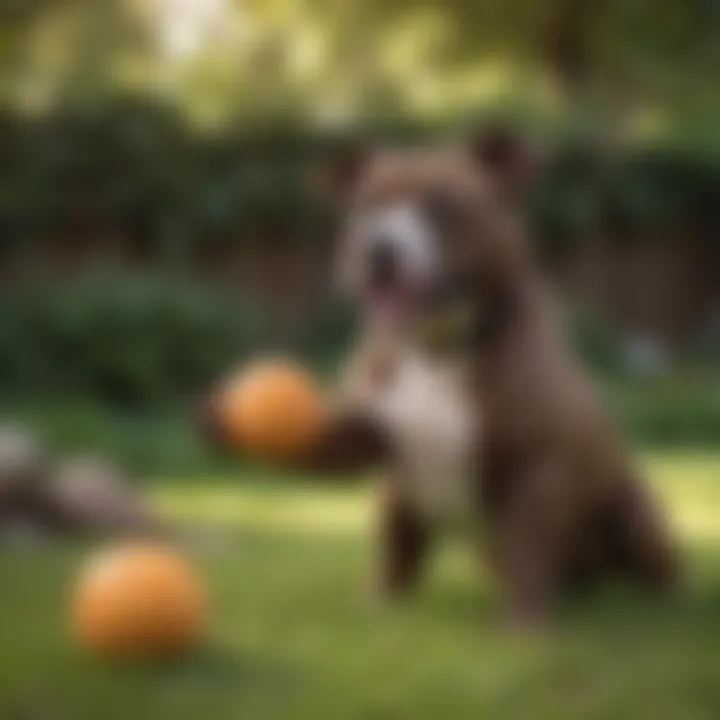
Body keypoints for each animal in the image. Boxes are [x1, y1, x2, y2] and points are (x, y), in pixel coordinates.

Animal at [200, 132, 676, 628]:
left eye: (443, 206)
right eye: (366, 207)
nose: (379, 248)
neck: (435, 345)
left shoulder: (536, 469)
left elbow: (529, 549)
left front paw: (525, 626)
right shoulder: (366, 436)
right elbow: (343, 465)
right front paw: (219, 418)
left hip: (636, 514)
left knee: (643, 563)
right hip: (414, 506)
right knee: (404, 547)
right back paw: (386, 602)